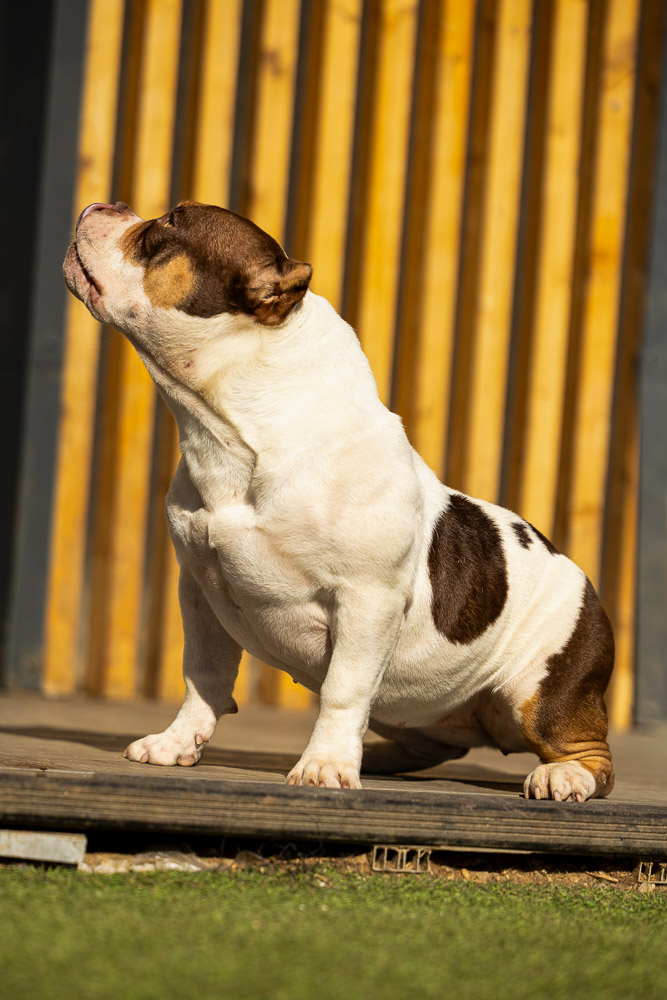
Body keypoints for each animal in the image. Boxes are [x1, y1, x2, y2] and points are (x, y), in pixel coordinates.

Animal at [63, 200, 614, 801]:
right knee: (431, 737)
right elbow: (202, 675)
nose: (104, 204)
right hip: (419, 709)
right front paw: (176, 742)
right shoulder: (201, 591)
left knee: (589, 753)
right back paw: (378, 757)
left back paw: (564, 775)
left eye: (165, 228)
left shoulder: (366, 600)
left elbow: (342, 690)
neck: (236, 433)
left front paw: (325, 766)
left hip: (543, 694)